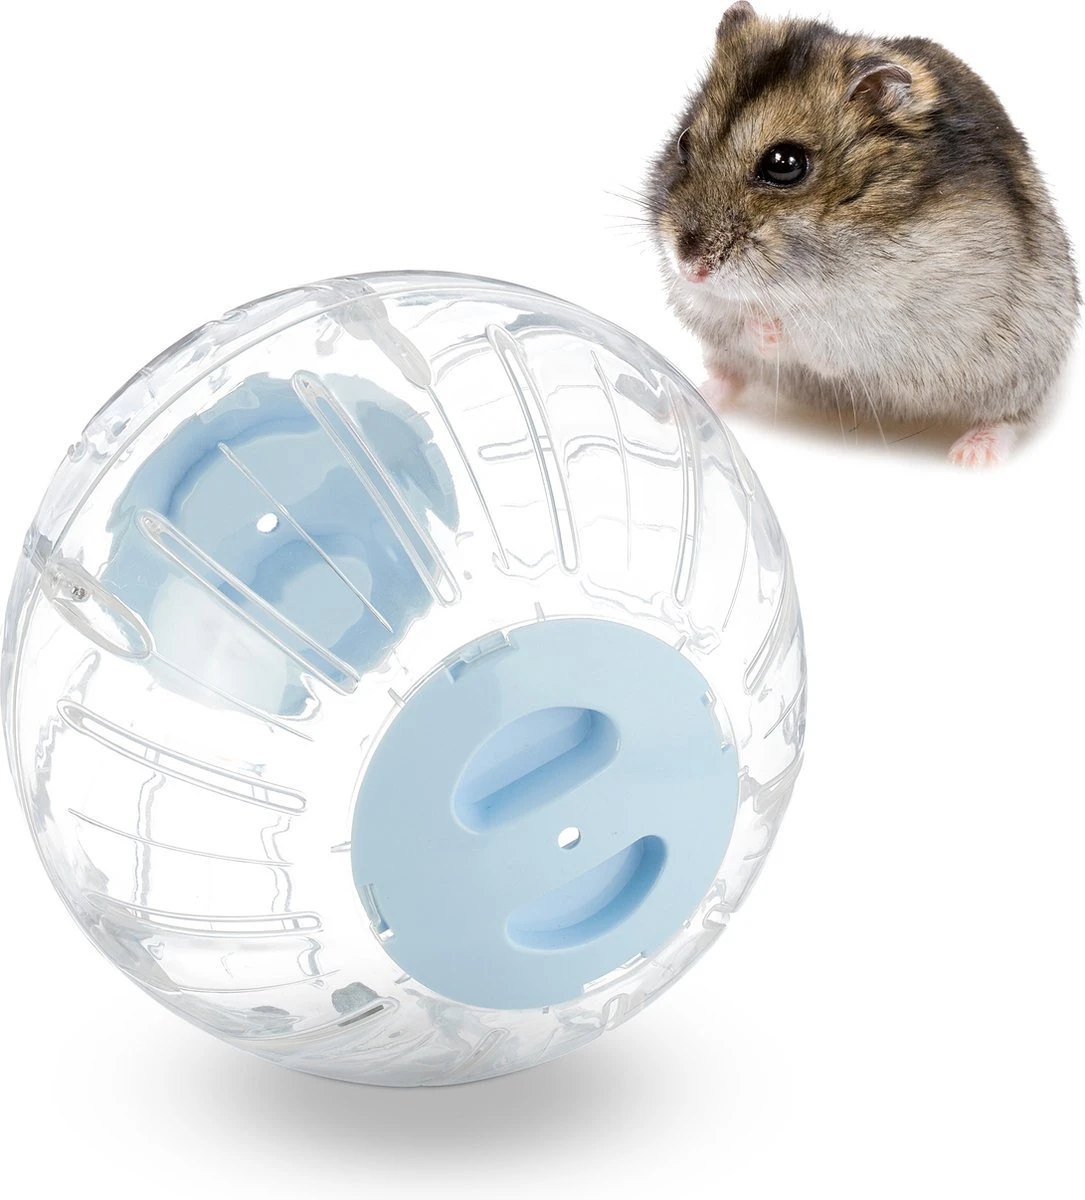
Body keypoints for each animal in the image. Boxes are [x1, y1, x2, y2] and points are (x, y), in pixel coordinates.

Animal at [646, 3, 1079, 465]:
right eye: (683, 143)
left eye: (785, 163)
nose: (691, 268)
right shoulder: (697, 302)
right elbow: (724, 315)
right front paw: (751, 316)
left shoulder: (879, 323)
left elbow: (805, 332)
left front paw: (768, 322)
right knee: (733, 377)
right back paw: (682, 405)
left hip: (1022, 369)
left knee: (1010, 418)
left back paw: (972, 456)